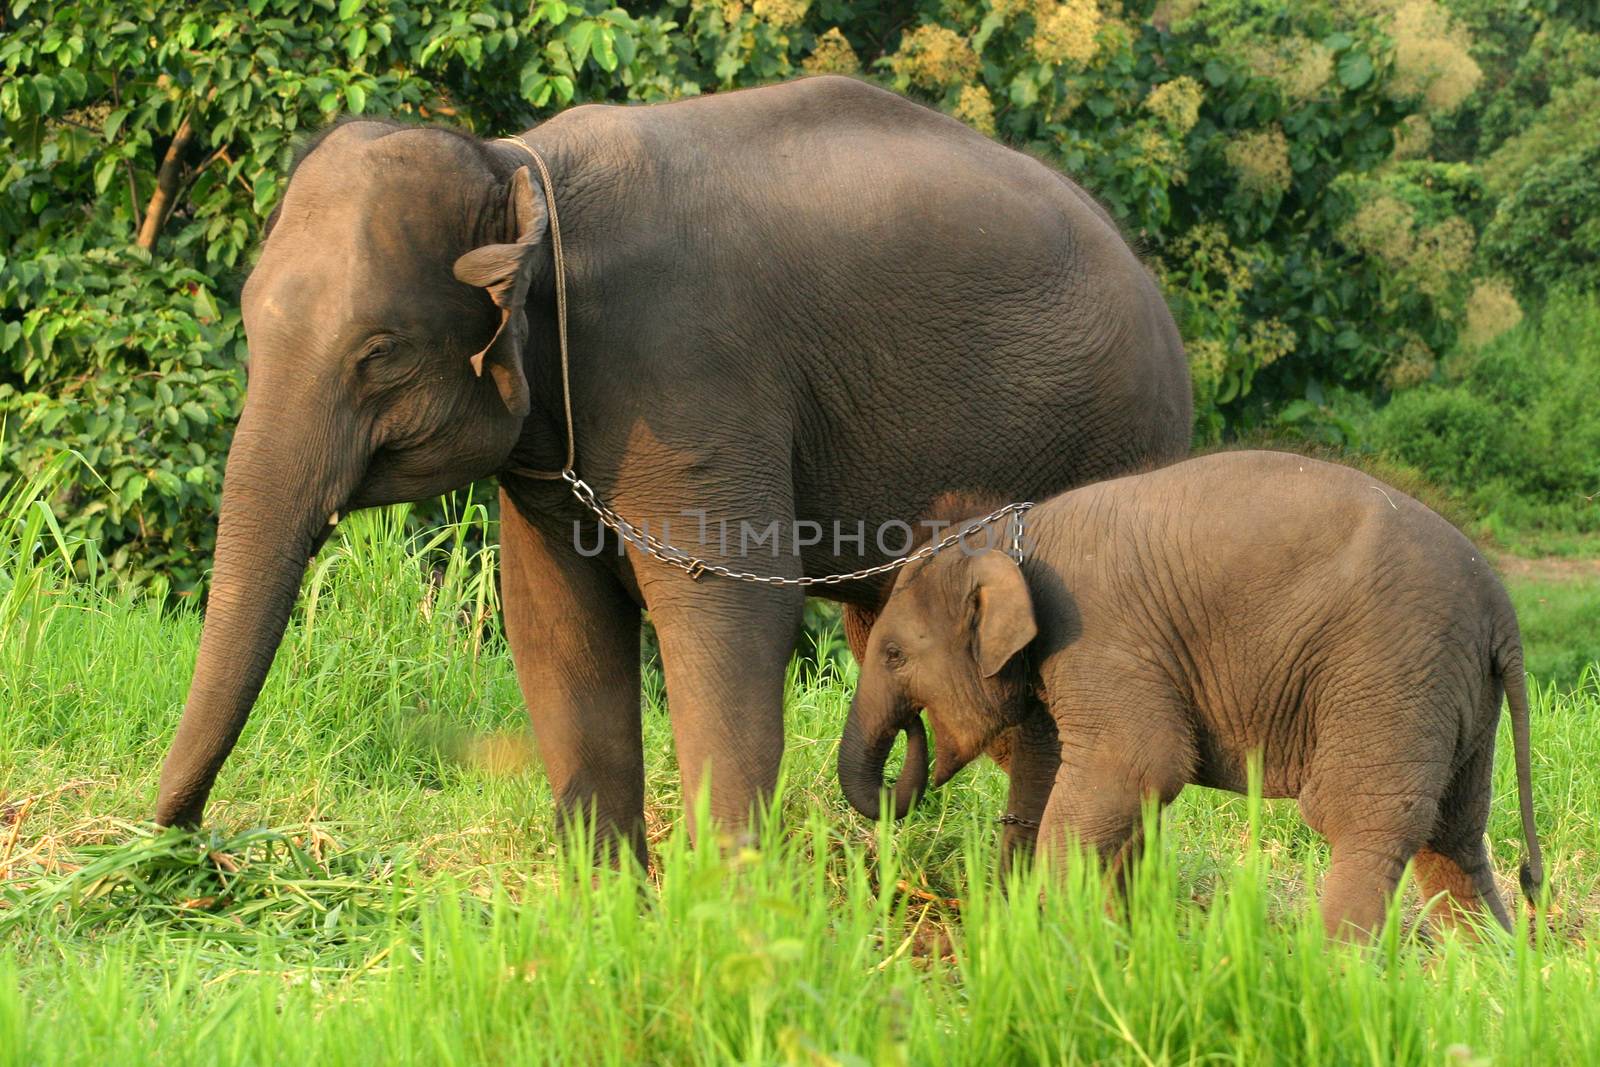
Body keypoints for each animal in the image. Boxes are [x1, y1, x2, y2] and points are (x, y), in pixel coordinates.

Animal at [159, 75, 1190, 863]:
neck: (524, 170)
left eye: (379, 353)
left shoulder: (691, 373)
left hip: (1109, 442)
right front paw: (607, 908)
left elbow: (730, 610)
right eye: (246, 320)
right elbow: (555, 624)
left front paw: (728, 919)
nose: (179, 841)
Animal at [844, 451, 1542, 934]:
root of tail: (1501, 608)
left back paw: (1330, 974)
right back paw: (1496, 977)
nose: (912, 737)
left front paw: (1052, 935)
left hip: (1389, 673)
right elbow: (1081, 777)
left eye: (894, 654)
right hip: (1454, 693)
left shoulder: (1100, 638)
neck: (1015, 532)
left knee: (1366, 822)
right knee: (1455, 838)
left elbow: (1136, 766)